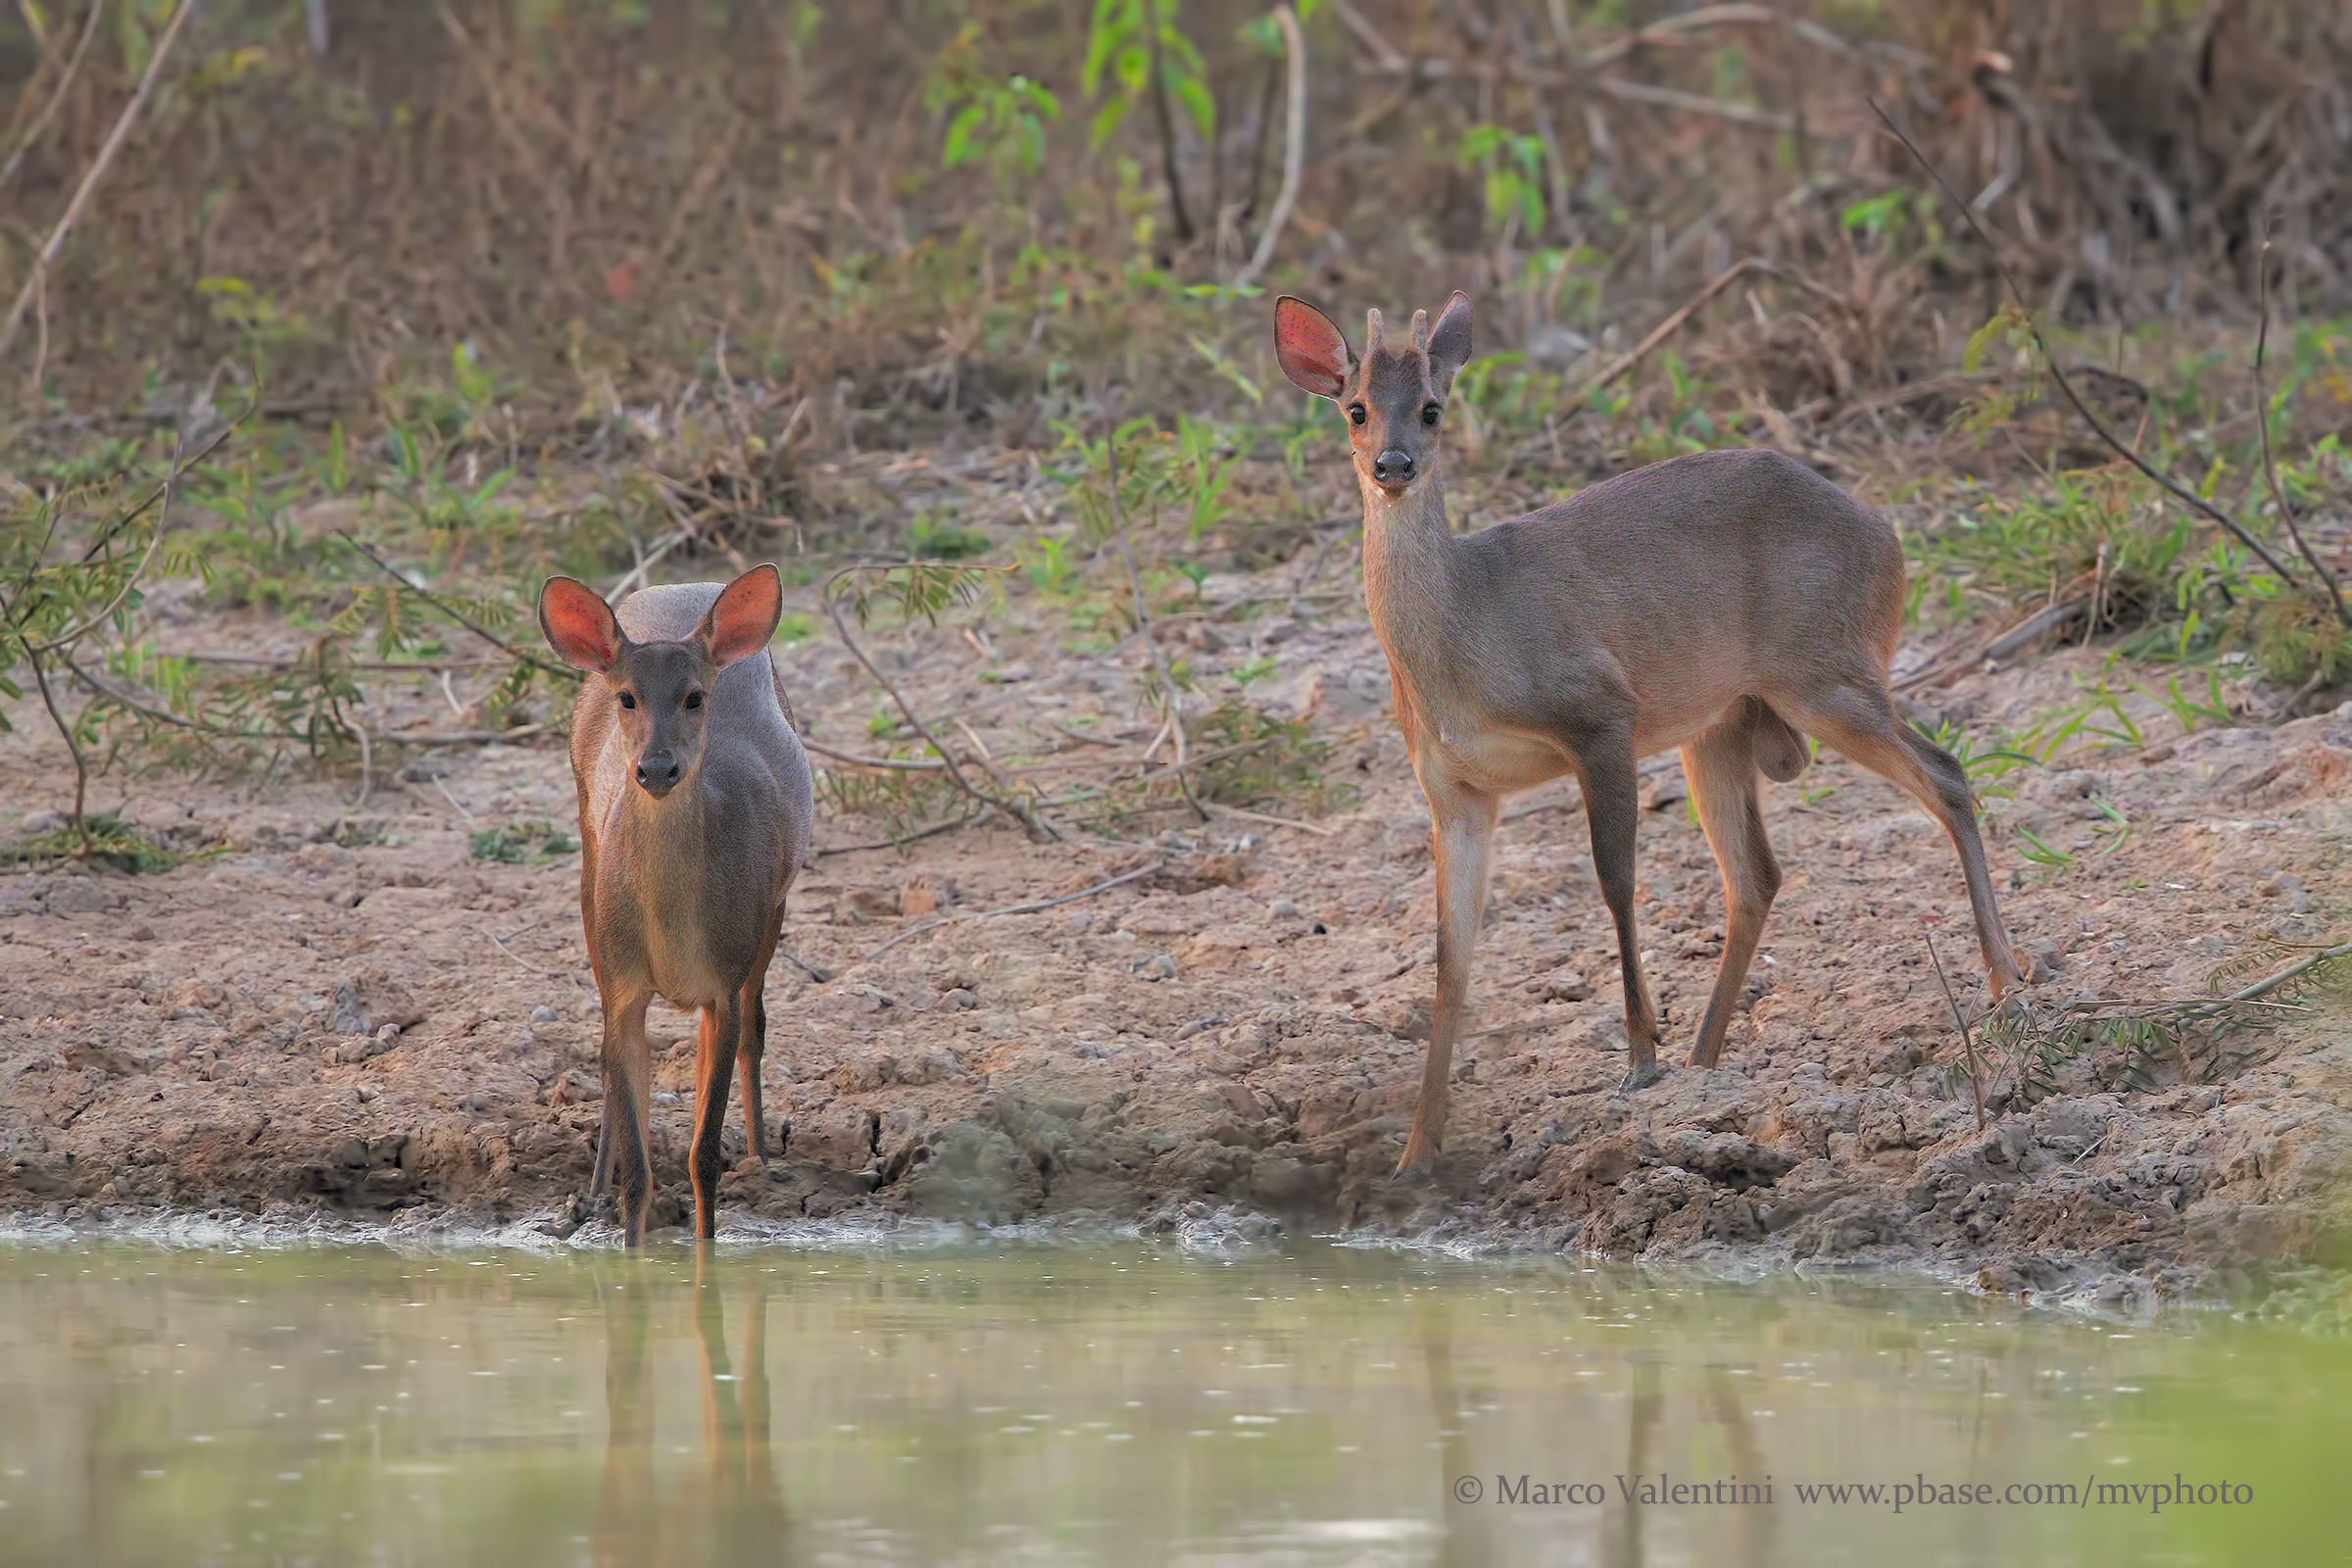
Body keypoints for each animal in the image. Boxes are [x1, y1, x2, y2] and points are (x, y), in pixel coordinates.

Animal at [538, 564, 814, 1244]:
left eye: (694, 697)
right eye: (627, 697)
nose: (657, 768)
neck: (671, 929)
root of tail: (680, 588)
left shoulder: (724, 977)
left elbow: (703, 1152)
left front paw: (707, 1248)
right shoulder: (625, 985)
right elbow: (639, 1170)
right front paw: (627, 1237)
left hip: (770, 914)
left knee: (754, 1031)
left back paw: (762, 1158)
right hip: (589, 873)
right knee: (606, 1057)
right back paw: (590, 1192)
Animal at [1271, 291, 2025, 1176]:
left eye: (1431, 407)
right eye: (1355, 408)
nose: (1393, 466)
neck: (1468, 633)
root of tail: (1888, 534)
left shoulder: (1602, 716)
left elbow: (1616, 880)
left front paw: (1639, 1057)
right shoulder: (1455, 790)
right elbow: (1450, 958)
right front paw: (1418, 1148)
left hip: (1826, 675)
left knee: (1947, 775)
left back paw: (2006, 984)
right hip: (1723, 726)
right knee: (1757, 874)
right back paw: (1705, 1062)